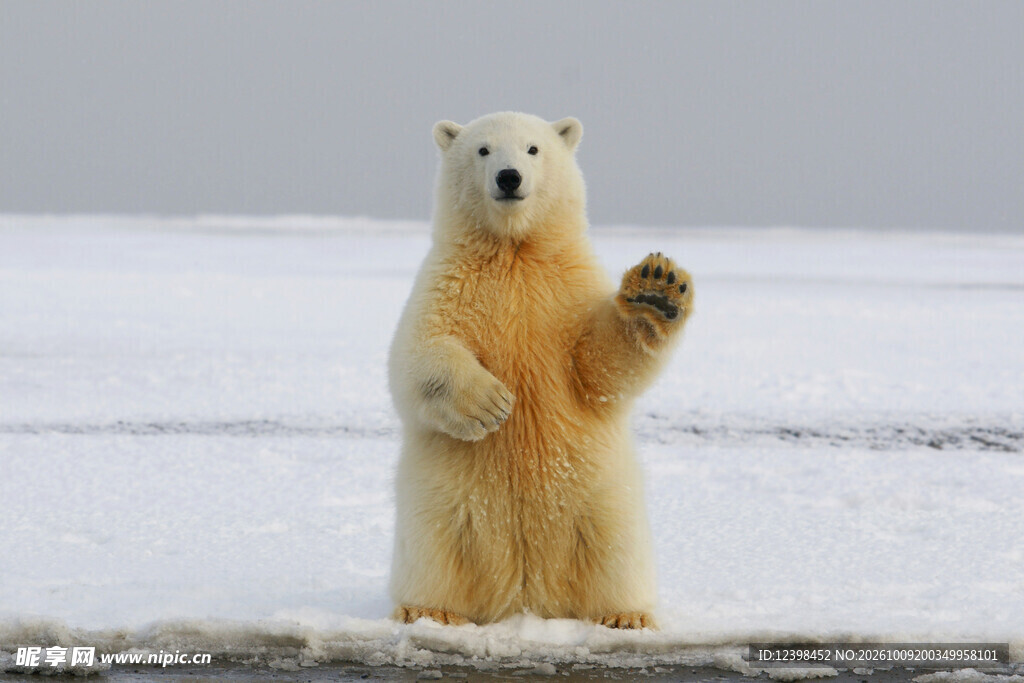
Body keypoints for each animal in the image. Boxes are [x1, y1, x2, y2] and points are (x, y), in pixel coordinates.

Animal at [388, 111, 694, 629]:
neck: (515, 251)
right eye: (483, 150)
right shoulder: (448, 283)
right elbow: (417, 355)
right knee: (435, 549)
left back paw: (625, 615)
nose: (509, 178)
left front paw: (656, 289)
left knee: (615, 552)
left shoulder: (567, 290)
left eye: (533, 149)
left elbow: (599, 367)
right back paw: (428, 610)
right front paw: (490, 404)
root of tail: (526, 596)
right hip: (442, 503)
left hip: (600, 500)